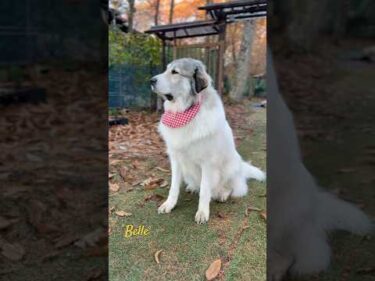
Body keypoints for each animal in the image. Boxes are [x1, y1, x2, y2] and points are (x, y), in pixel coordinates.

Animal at [151, 58, 266, 222]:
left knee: (232, 188)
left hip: (230, 168)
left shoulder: (207, 164)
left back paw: (222, 193)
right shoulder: (176, 159)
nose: (151, 80)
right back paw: (192, 187)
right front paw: (169, 204)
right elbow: (173, 187)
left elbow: (205, 190)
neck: (185, 112)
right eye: (166, 70)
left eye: (175, 72)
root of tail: (241, 169)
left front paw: (202, 212)